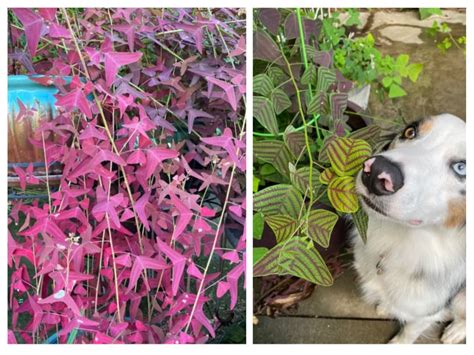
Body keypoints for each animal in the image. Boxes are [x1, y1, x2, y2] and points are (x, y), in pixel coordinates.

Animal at [352, 114, 466, 344]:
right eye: (410, 132)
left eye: (461, 167)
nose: (377, 172)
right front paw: (386, 306)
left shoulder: (426, 311)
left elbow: (409, 331)